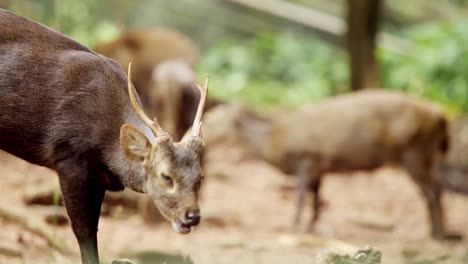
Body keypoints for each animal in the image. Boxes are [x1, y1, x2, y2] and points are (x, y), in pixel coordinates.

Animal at [0, 9, 208, 262]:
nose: (192, 216)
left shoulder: (98, 178)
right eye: (165, 176)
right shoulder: (69, 157)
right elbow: (85, 234)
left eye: (200, 177)